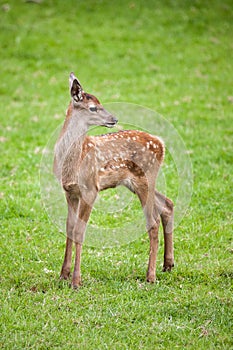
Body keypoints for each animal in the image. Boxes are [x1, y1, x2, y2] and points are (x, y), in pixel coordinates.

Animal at [52, 72, 173, 288]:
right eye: (93, 107)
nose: (114, 119)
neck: (73, 163)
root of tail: (161, 144)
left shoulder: (90, 188)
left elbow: (80, 231)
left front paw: (76, 280)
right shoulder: (70, 191)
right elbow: (69, 228)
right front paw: (63, 275)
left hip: (146, 178)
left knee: (153, 222)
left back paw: (150, 275)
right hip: (137, 183)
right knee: (167, 204)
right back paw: (168, 264)